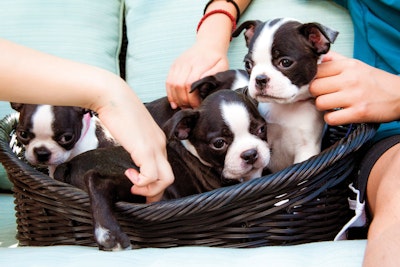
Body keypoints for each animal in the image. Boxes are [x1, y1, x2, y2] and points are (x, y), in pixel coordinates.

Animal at [53, 89, 270, 252]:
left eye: (261, 129)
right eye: (219, 143)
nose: (250, 154)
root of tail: (70, 164)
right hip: (136, 181)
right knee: (97, 180)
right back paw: (108, 232)